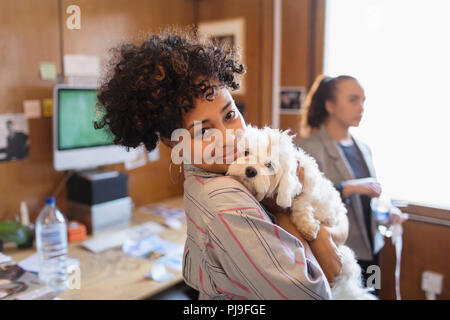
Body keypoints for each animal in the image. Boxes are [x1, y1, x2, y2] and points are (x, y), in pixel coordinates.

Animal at [225, 125, 376, 300]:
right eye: (246, 152)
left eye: (269, 166)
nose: (250, 171)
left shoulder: (305, 190)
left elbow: (300, 204)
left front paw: (307, 227)